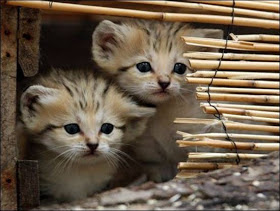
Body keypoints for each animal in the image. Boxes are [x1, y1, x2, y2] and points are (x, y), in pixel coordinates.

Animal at [92, 19, 223, 181]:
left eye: (180, 67)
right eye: (143, 66)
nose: (164, 82)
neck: (162, 113)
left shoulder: (196, 134)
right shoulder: (150, 151)